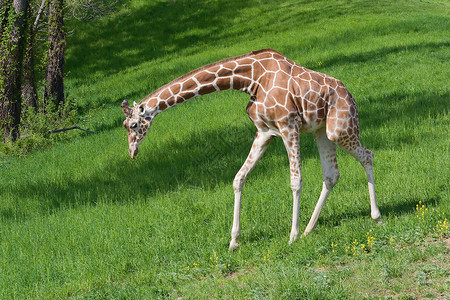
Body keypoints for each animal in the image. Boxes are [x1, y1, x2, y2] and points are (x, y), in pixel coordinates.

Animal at [121, 49, 382, 251]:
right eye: (124, 125)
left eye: (133, 125)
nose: (132, 152)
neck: (250, 80)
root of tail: (350, 94)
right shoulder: (264, 132)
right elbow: (239, 178)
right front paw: (233, 241)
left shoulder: (289, 126)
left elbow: (295, 181)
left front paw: (292, 236)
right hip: (321, 130)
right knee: (331, 174)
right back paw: (310, 228)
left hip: (340, 127)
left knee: (368, 155)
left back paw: (376, 216)